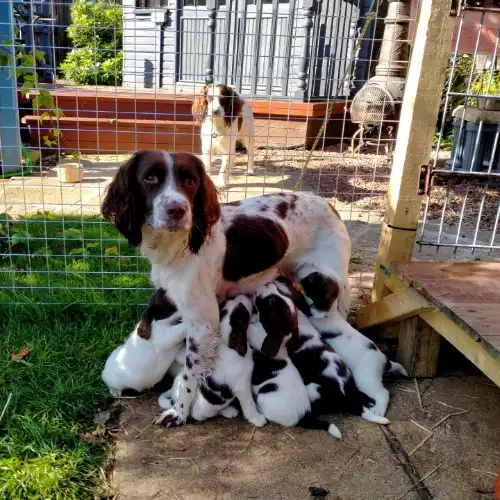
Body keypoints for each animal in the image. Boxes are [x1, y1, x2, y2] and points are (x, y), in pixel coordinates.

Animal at [157, 294, 268, 428]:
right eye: (243, 311)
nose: (245, 295)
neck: (226, 345)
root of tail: (174, 397)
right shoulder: (242, 386)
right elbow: (249, 404)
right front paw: (257, 419)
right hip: (202, 411)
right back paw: (228, 411)